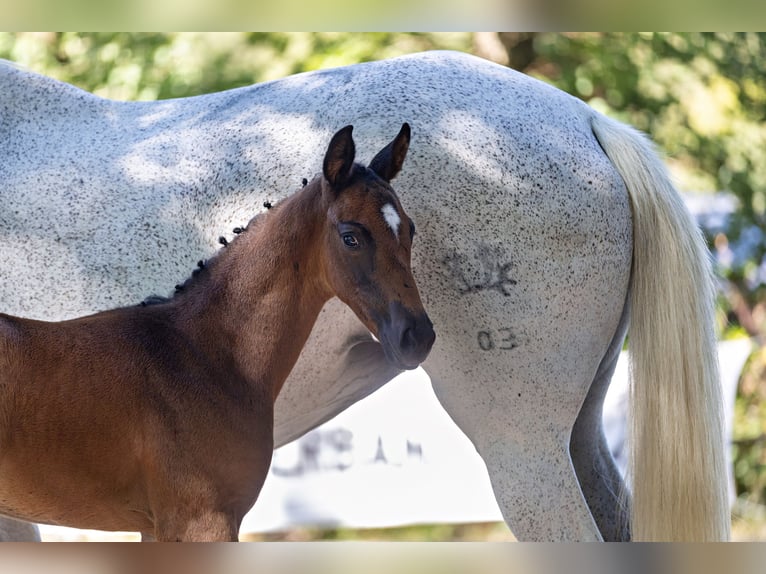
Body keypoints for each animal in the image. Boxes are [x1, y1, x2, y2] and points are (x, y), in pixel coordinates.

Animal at [0, 124, 434, 542]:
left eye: (410, 230)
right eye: (350, 237)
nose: (418, 337)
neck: (205, 356)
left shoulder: (158, 528)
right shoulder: (201, 522)